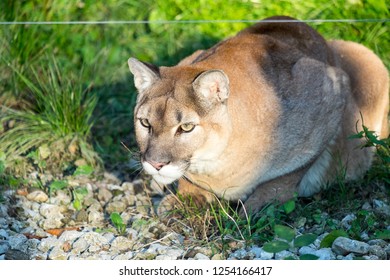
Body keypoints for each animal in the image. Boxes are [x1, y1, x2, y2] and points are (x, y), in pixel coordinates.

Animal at [127, 15, 386, 214]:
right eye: (145, 123)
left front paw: (258, 206)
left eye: (186, 127)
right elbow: (188, 180)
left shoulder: (331, 90)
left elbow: (286, 174)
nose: (156, 164)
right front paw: (186, 199)